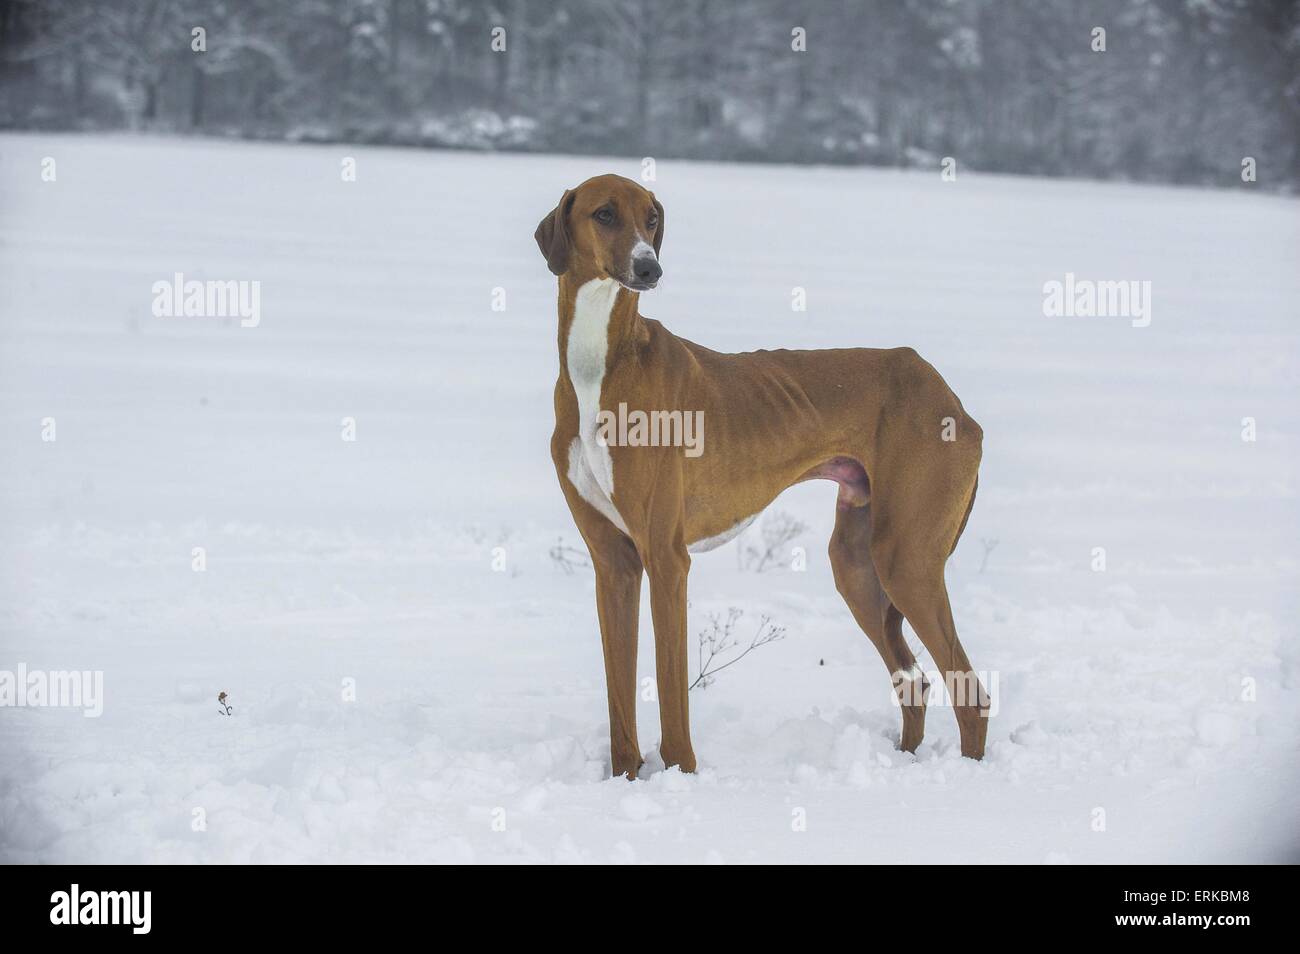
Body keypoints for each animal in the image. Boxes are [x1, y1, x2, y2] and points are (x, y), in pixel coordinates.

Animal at [535, 175, 982, 779]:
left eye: (651, 218)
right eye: (604, 214)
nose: (650, 268)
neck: (600, 363)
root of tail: (947, 393)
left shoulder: (667, 559)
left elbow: (672, 692)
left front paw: (680, 774)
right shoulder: (615, 563)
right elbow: (619, 697)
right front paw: (626, 778)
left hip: (904, 561)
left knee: (970, 692)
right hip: (857, 565)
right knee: (913, 680)